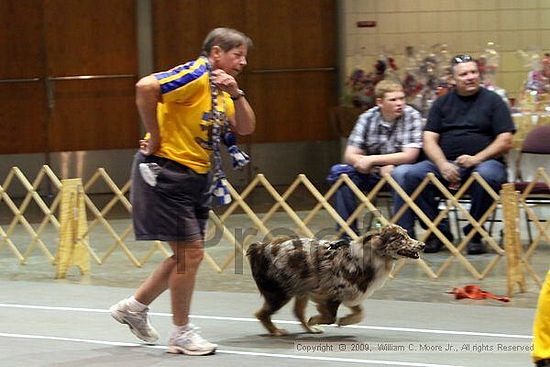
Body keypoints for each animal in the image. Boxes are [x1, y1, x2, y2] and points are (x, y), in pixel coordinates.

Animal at [248, 224, 424, 336]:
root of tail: (260, 247)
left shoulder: (352, 293)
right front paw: (316, 320)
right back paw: (276, 331)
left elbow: (360, 313)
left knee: (297, 312)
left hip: (301, 288)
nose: (422, 244)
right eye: (401, 238)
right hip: (280, 293)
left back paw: (310, 330)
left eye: (407, 234)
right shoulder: (331, 293)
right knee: (261, 314)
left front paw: (345, 321)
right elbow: (331, 317)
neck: (371, 257)